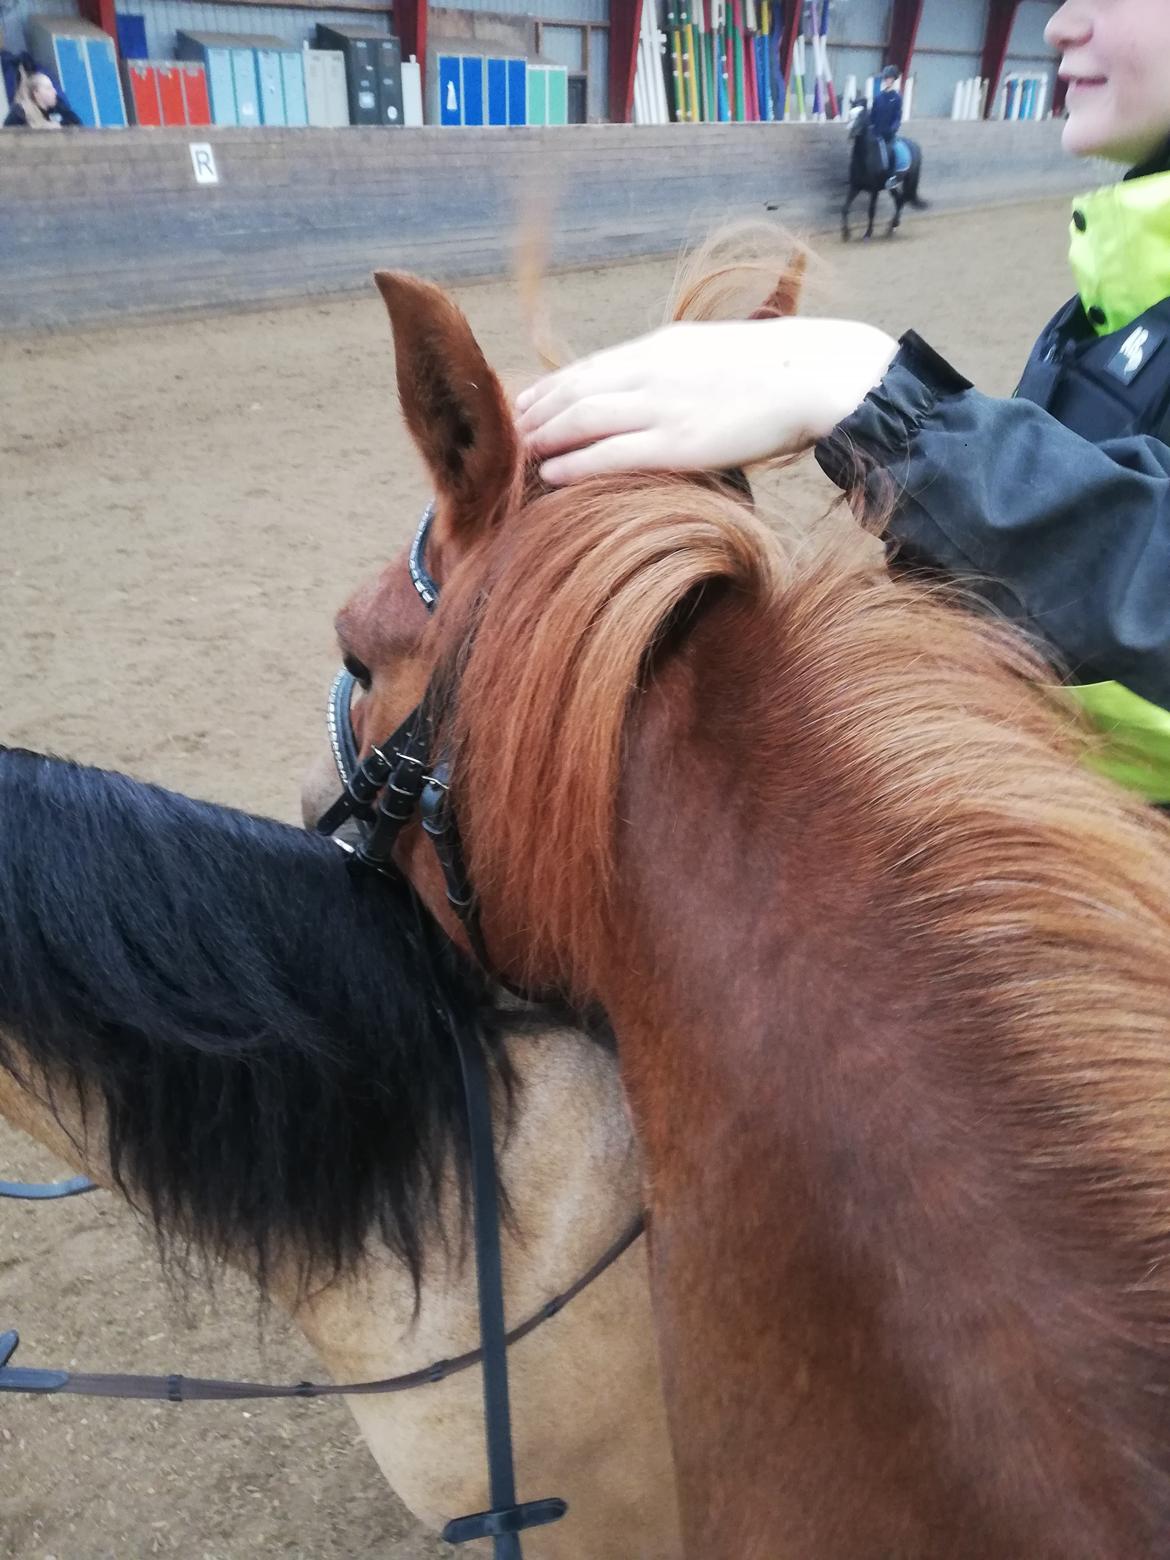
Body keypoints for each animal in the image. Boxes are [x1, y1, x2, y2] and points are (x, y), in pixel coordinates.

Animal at [842, 98, 926, 241]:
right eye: (850, 114)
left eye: (862, 115)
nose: (852, 133)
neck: (865, 156)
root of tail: (914, 145)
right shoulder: (855, 186)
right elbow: (845, 208)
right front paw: (846, 234)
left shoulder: (874, 190)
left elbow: (871, 211)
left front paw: (868, 233)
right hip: (892, 186)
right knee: (899, 200)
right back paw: (890, 228)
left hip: (907, 180)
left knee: (904, 199)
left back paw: (893, 225)